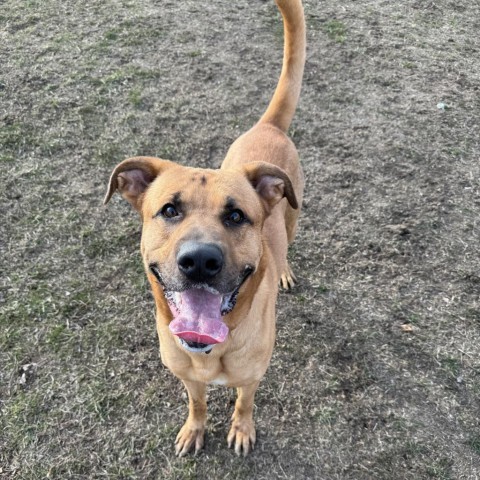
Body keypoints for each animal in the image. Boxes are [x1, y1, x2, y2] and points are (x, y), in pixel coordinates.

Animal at [103, 0, 306, 458]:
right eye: (169, 210)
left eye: (236, 216)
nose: (199, 261)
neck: (212, 348)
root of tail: (268, 126)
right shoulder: (187, 375)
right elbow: (197, 402)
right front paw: (194, 430)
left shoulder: (252, 376)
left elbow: (244, 402)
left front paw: (242, 429)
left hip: (293, 213)